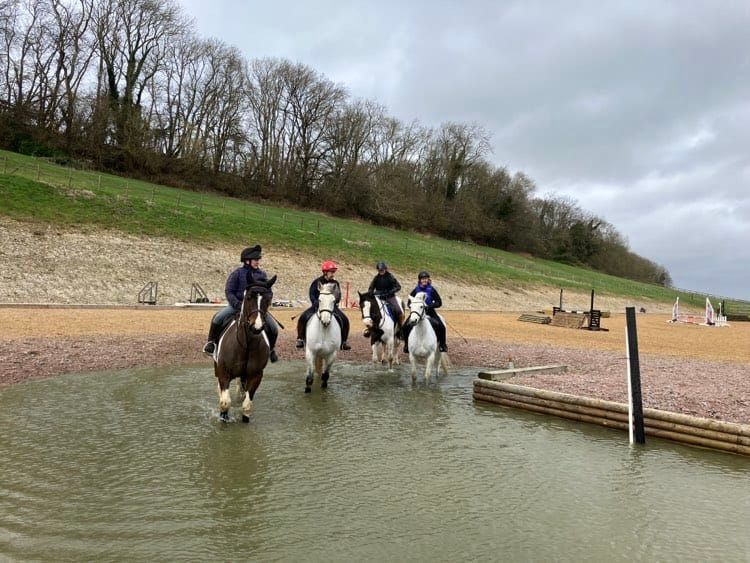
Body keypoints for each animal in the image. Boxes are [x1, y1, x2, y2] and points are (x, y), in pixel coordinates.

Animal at [212, 278, 276, 424]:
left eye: (268, 299)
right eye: (248, 297)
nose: (256, 327)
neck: (246, 344)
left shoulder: (256, 376)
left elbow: (246, 405)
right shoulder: (224, 373)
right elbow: (225, 403)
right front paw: (223, 418)